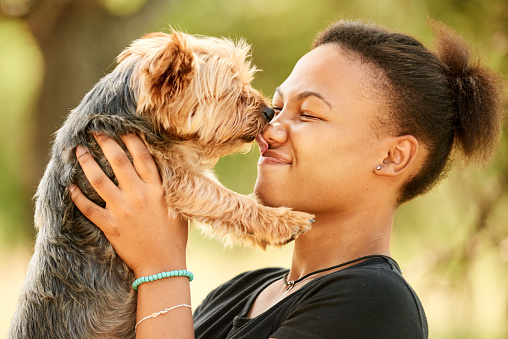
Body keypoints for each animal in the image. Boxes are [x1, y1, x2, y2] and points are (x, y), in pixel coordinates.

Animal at [8, 30, 314, 338]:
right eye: (232, 92)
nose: (269, 111)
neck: (131, 115)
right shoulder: (177, 178)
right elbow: (229, 201)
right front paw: (286, 221)